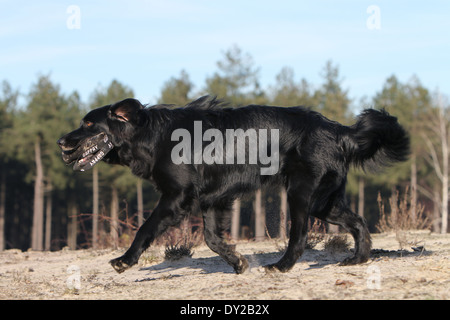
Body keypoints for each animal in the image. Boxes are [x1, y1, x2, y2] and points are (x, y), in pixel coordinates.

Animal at [58, 95, 410, 272]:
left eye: (88, 124)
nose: (61, 141)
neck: (152, 135)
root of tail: (338, 130)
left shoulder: (176, 197)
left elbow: (145, 228)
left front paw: (125, 261)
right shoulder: (213, 200)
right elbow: (213, 239)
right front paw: (237, 261)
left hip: (301, 195)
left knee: (299, 236)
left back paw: (281, 266)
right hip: (324, 202)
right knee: (359, 222)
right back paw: (358, 259)